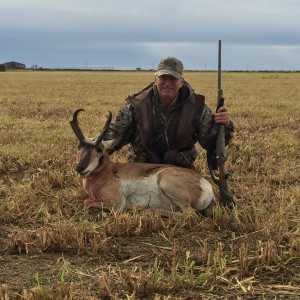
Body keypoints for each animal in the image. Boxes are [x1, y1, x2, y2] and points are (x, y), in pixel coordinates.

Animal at [70, 109, 216, 217]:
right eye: (79, 146)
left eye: (99, 149)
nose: (80, 168)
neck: (107, 171)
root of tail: (206, 184)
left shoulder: (118, 203)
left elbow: (86, 201)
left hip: (165, 181)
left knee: (189, 214)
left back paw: (147, 210)